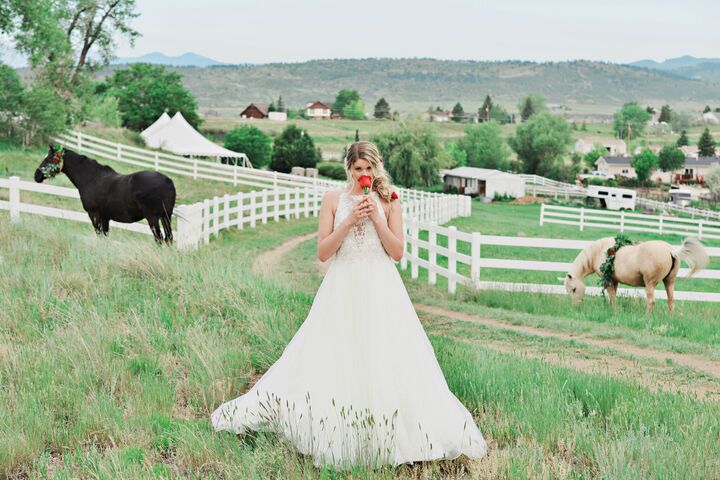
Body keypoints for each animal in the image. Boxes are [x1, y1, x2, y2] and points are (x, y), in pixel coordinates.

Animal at [35, 144, 177, 244]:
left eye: (50, 158)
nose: (37, 175)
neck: (91, 178)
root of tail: (167, 181)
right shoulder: (105, 218)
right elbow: (105, 237)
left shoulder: (94, 215)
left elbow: (100, 236)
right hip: (165, 217)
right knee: (169, 238)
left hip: (153, 218)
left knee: (159, 239)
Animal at [564, 235, 708, 312]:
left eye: (574, 289)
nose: (575, 306)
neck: (600, 251)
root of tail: (671, 251)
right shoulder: (614, 281)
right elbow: (614, 296)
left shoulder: (609, 280)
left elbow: (612, 297)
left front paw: (613, 311)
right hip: (669, 282)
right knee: (671, 300)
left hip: (650, 284)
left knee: (651, 302)